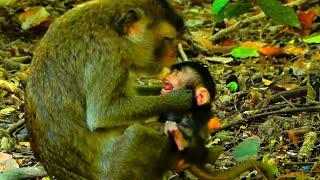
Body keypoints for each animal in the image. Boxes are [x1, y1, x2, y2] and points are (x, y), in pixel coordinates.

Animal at [26, 0, 191, 179]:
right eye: (168, 39)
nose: (174, 54)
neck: (115, 32)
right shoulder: (108, 57)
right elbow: (102, 115)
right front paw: (179, 99)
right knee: (138, 133)